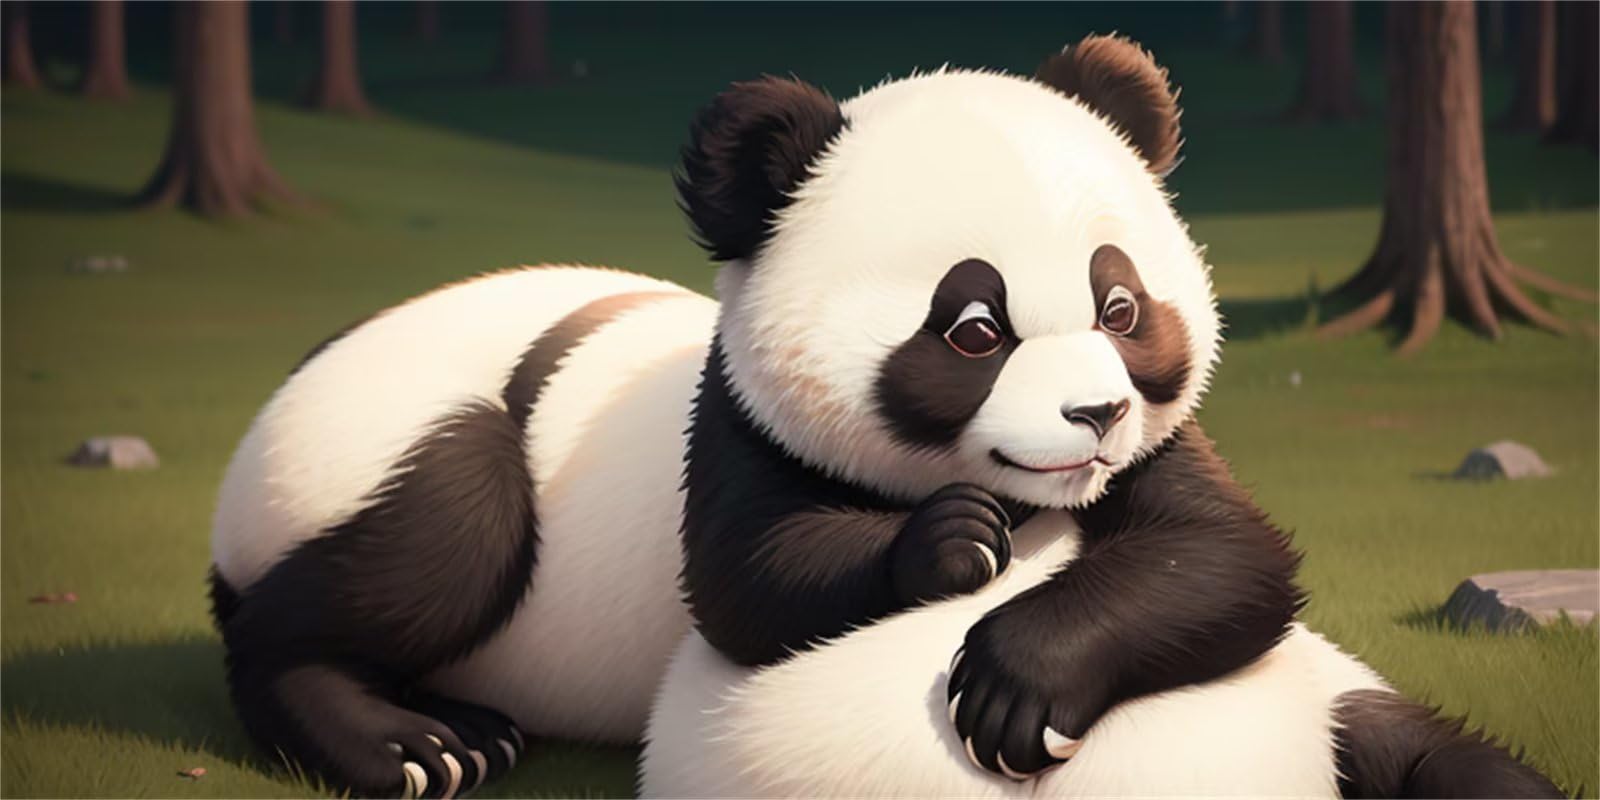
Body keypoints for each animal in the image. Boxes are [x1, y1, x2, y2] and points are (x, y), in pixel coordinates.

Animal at [210, 35, 1559, 800]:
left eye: (1121, 305)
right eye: (972, 328)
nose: (1095, 412)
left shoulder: (1166, 458)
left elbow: (1226, 557)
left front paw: (1016, 680)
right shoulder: (734, 425)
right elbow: (749, 578)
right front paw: (949, 545)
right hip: (401, 442)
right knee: (428, 539)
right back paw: (412, 742)